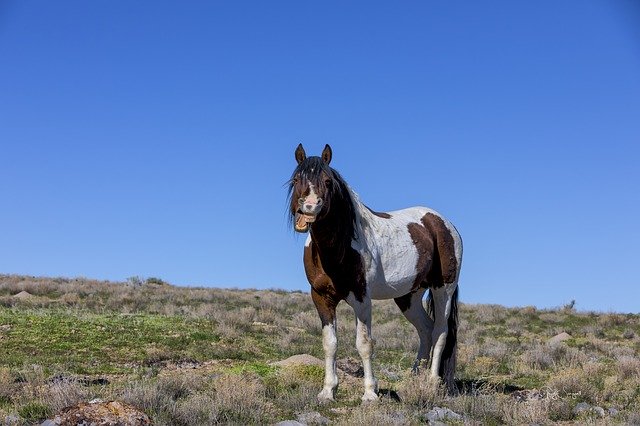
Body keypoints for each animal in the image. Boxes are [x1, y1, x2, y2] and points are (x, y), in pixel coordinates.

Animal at [288, 145, 462, 402]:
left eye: (328, 181)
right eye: (296, 179)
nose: (308, 208)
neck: (339, 246)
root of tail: (443, 223)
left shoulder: (361, 299)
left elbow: (364, 343)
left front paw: (370, 393)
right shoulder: (321, 297)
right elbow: (330, 343)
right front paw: (328, 391)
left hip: (443, 290)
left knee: (440, 332)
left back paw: (431, 383)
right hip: (408, 297)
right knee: (426, 330)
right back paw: (414, 379)